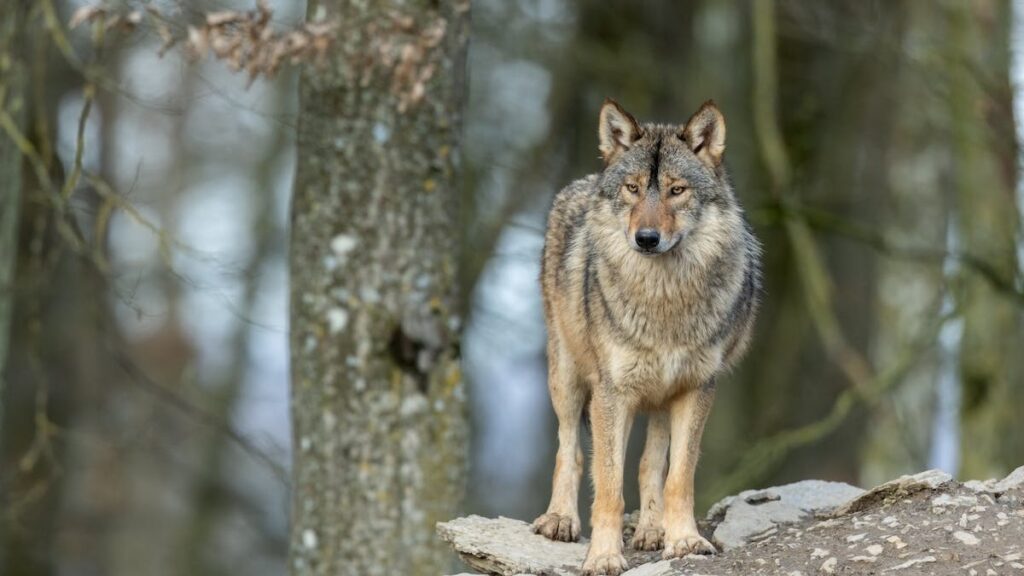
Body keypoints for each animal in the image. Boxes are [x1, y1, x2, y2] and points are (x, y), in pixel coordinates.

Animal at [531, 99, 761, 575]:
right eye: (634, 189)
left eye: (676, 190)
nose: (647, 238)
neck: (663, 300)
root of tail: (581, 182)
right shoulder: (611, 393)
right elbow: (608, 486)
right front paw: (603, 556)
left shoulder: (696, 388)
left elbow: (678, 476)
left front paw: (684, 540)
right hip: (569, 380)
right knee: (571, 450)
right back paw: (560, 520)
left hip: (659, 396)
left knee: (649, 462)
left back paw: (653, 531)